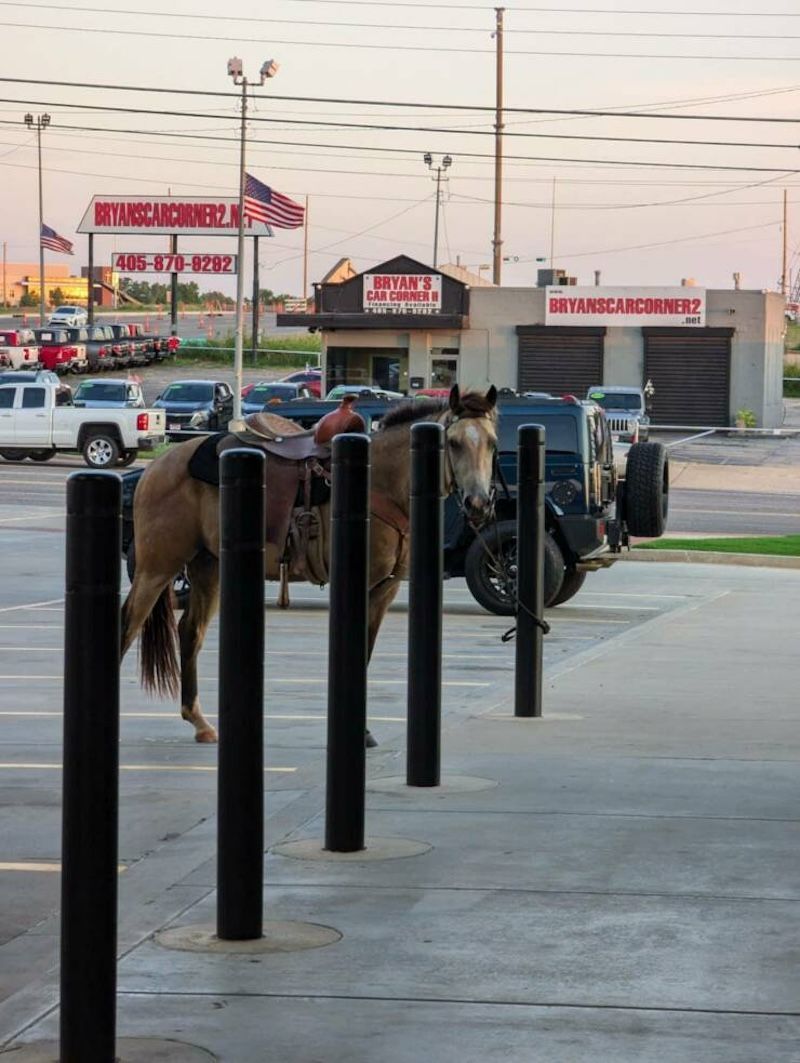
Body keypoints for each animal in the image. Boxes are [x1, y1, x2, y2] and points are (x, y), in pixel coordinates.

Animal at [119, 382, 497, 739]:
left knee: (190, 631)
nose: (478, 503)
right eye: (454, 443)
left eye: (492, 443)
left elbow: (366, 652)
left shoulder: (385, 590)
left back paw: (199, 721)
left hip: (207, 568)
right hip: (157, 567)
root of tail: (153, 469)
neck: (380, 482)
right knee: (128, 623)